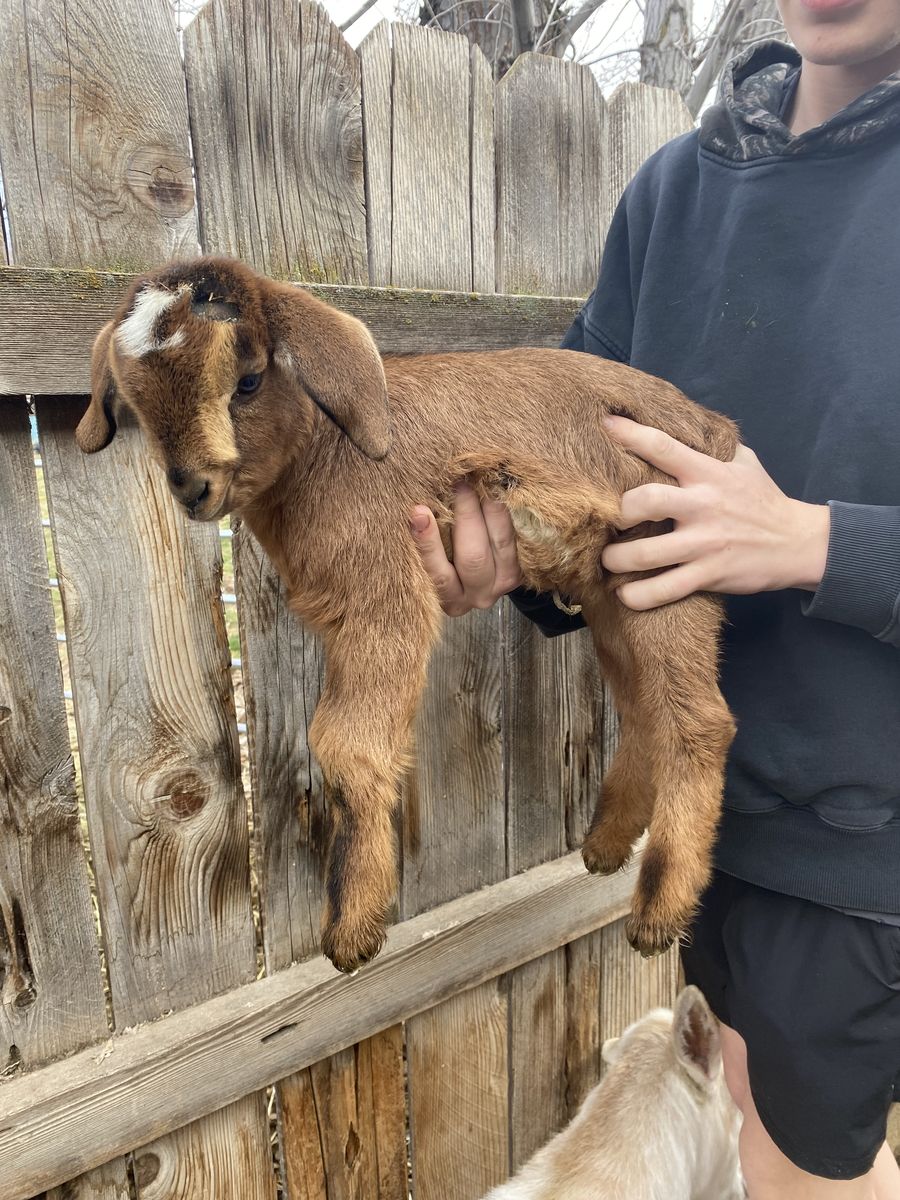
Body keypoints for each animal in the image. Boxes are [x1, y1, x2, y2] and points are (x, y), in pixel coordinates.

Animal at [77, 256, 738, 973]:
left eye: (247, 381)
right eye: (136, 403)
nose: (193, 488)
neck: (324, 455)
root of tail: (711, 429)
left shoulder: (383, 592)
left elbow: (344, 744)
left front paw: (352, 928)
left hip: (668, 568)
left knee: (700, 724)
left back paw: (659, 909)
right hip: (614, 589)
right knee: (646, 708)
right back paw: (606, 846)